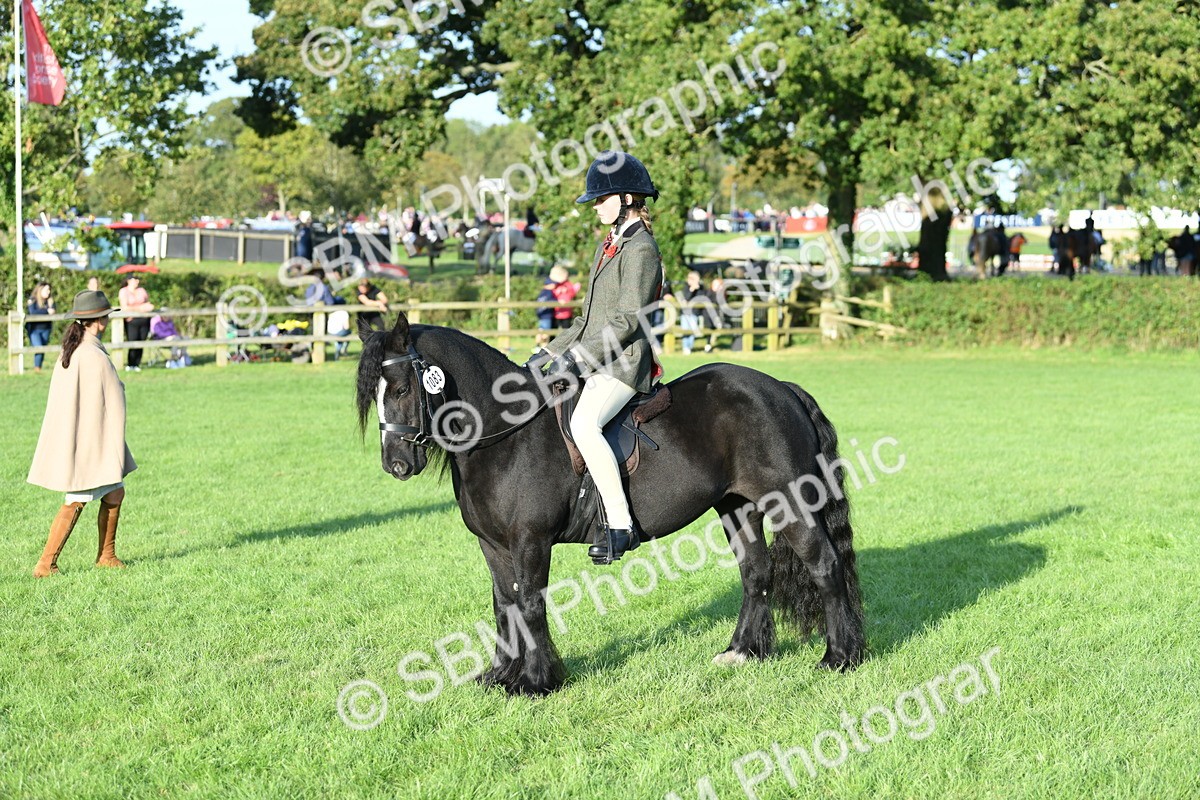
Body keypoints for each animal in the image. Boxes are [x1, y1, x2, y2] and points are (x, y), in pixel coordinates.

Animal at [355, 313, 867, 697]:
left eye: (401, 389)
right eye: (371, 394)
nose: (396, 464)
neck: (507, 435)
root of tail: (779, 388)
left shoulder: (530, 542)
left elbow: (531, 605)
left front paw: (537, 681)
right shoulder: (493, 546)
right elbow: (504, 605)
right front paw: (500, 675)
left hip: (789, 502)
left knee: (824, 564)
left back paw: (840, 658)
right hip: (737, 507)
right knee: (756, 572)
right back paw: (742, 651)